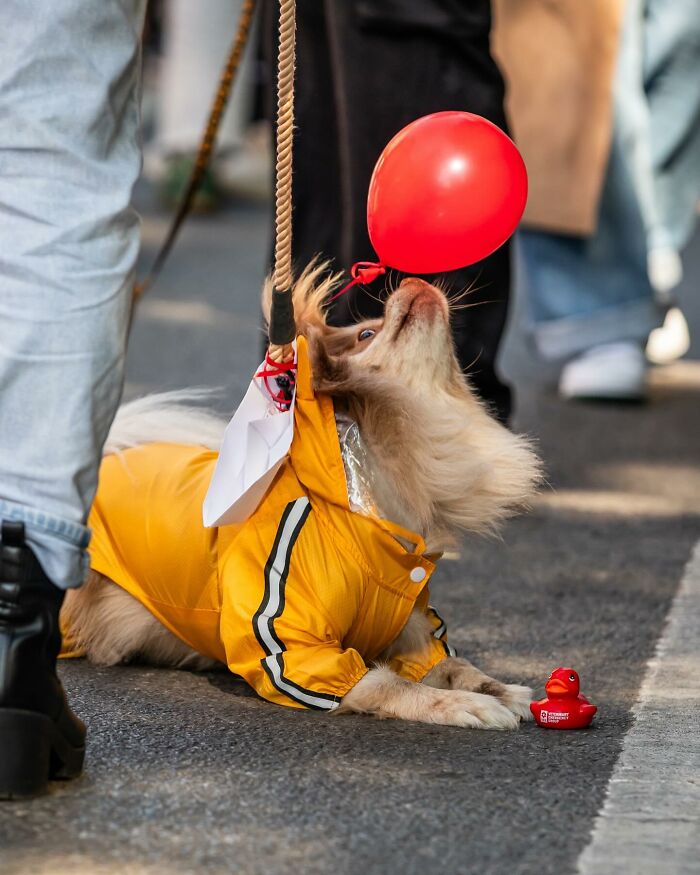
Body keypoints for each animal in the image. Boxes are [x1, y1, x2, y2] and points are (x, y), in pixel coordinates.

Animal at [61, 266, 540, 732]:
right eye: (366, 333)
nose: (411, 280)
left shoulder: (411, 629)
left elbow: (453, 665)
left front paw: (499, 690)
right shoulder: (295, 649)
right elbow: (394, 686)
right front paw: (468, 706)